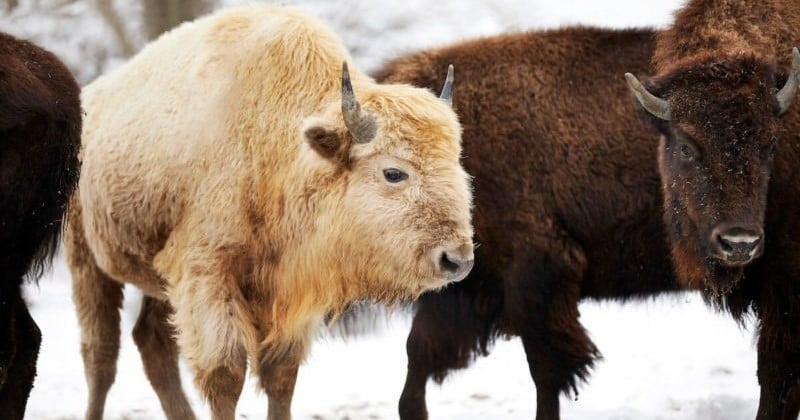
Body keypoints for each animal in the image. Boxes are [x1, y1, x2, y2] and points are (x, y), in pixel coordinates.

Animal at [64, 4, 476, 420]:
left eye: (457, 166)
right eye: (394, 172)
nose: (456, 259)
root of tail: (92, 98)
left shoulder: (292, 289)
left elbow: (281, 375)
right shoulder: (208, 275)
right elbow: (225, 374)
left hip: (156, 281)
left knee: (151, 343)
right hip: (86, 262)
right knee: (100, 356)